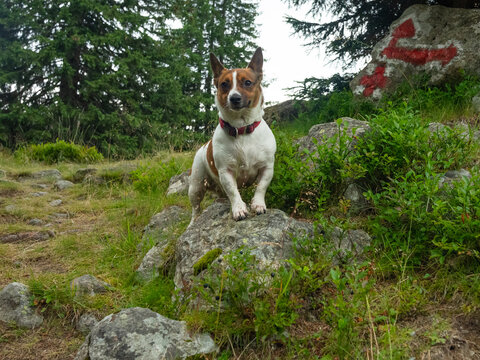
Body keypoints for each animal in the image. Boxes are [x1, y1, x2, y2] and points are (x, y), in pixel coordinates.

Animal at [188, 46, 276, 224]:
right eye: (224, 84)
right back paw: (193, 222)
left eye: (247, 82)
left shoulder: (267, 168)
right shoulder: (226, 172)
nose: (234, 98)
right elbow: (233, 192)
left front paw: (258, 204)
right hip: (196, 185)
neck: (241, 128)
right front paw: (239, 209)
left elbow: (261, 187)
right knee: (196, 208)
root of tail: (204, 146)